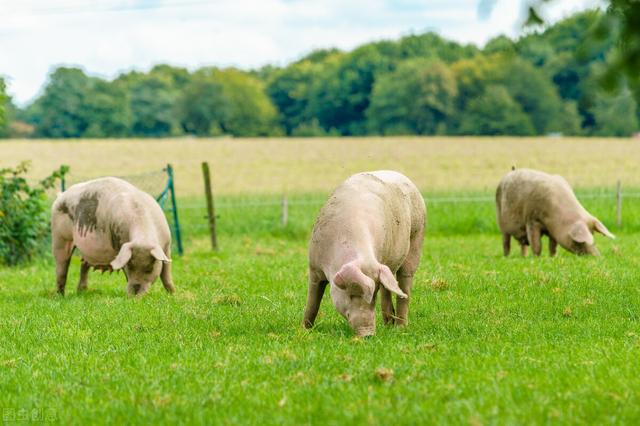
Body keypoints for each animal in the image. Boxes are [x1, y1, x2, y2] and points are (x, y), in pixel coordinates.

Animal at [304, 171, 428, 338]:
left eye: (373, 296)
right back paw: (389, 324)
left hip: (417, 237)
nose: (368, 334)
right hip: (386, 266)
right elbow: (312, 303)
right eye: (352, 294)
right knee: (388, 288)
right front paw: (304, 330)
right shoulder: (314, 267)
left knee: (404, 286)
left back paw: (400, 328)